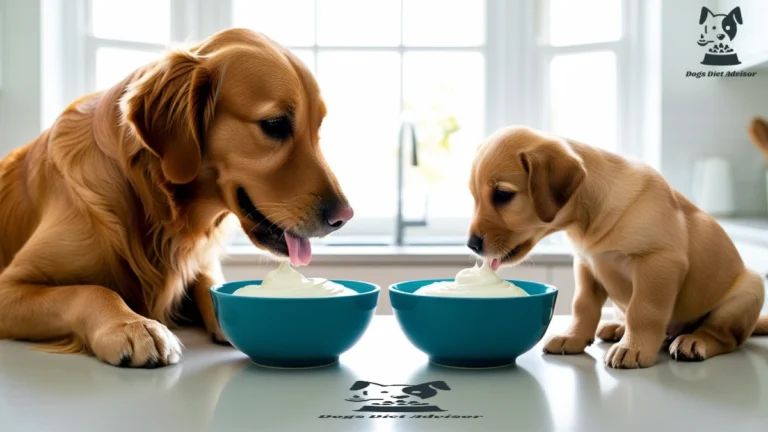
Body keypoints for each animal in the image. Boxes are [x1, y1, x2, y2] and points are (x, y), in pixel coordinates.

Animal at [0, 28, 352, 368]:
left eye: (318, 128)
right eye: (275, 124)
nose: (343, 217)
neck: (152, 203)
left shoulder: (202, 262)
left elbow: (209, 285)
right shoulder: (8, 286)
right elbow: (90, 291)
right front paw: (134, 326)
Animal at [464, 125, 764, 368]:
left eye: (503, 195)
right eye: (474, 196)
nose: (471, 245)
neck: (586, 219)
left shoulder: (658, 261)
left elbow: (643, 310)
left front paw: (634, 348)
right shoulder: (586, 264)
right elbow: (583, 305)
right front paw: (573, 337)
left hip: (748, 290)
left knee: (724, 338)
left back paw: (693, 341)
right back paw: (618, 328)